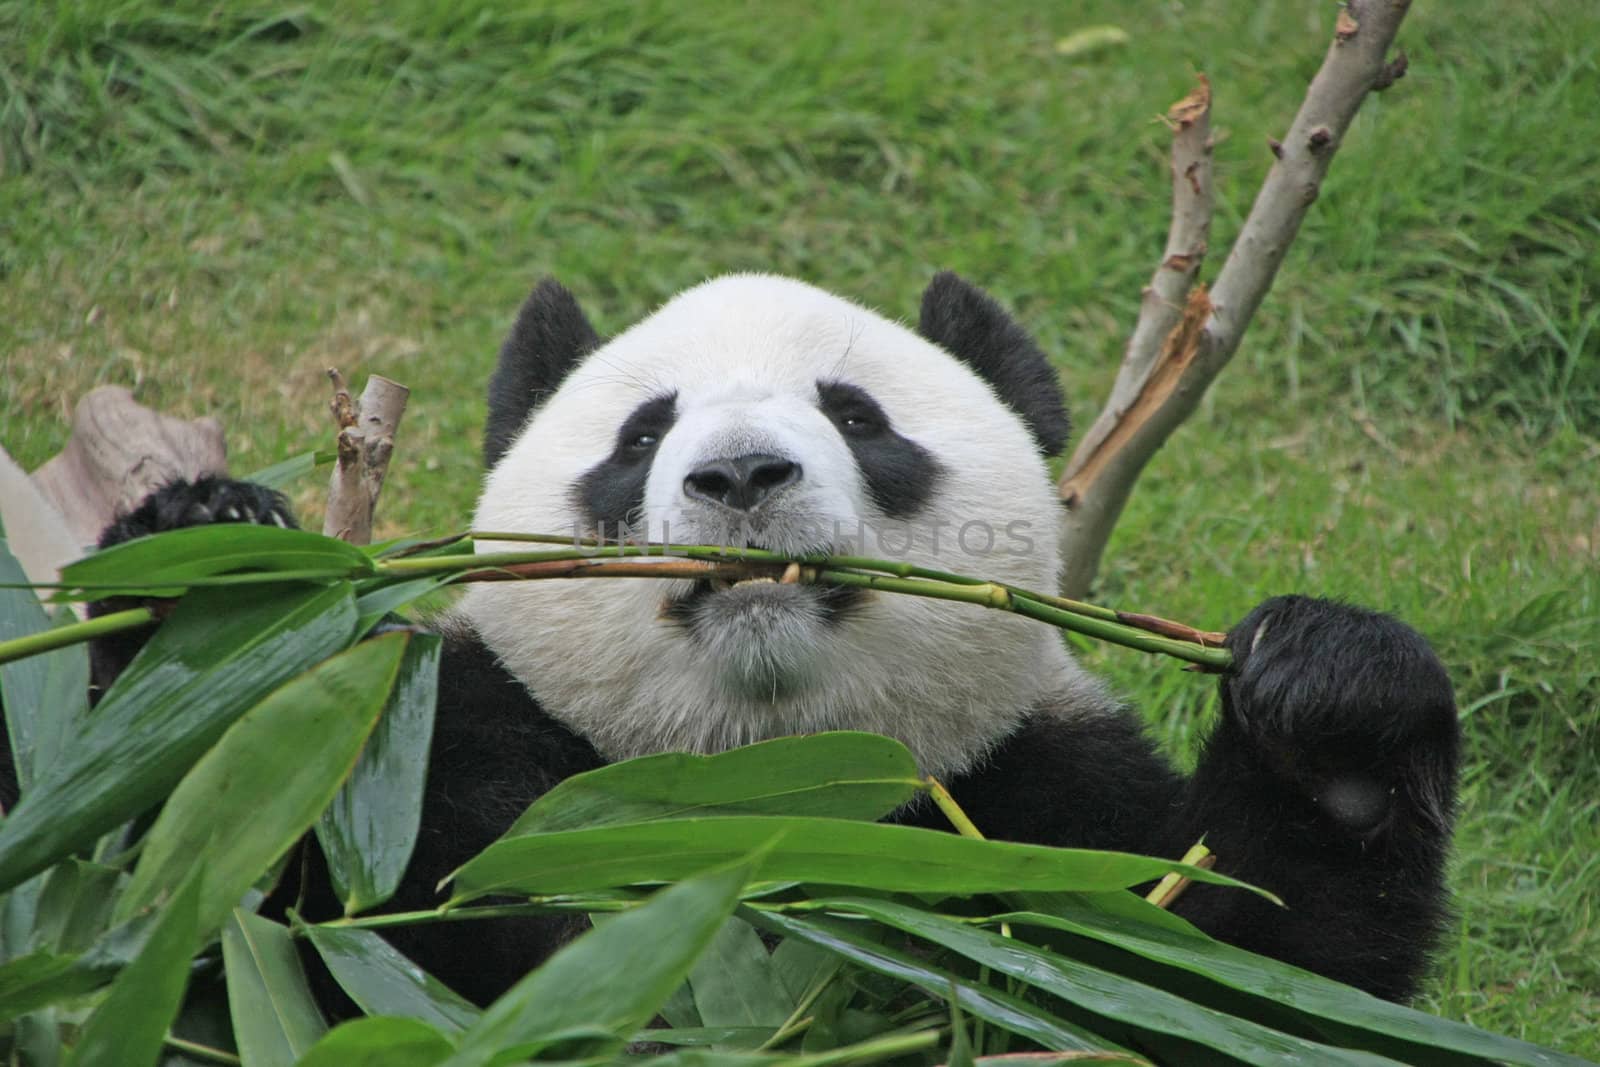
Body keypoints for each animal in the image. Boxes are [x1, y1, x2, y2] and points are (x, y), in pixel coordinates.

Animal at [0, 271, 1465, 1004]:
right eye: (642, 432)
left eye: (859, 415)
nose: (743, 473)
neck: (755, 776)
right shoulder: (438, 743)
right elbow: (188, 885)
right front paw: (213, 577)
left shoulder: (1036, 794)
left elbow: (1244, 969)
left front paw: (1332, 698)